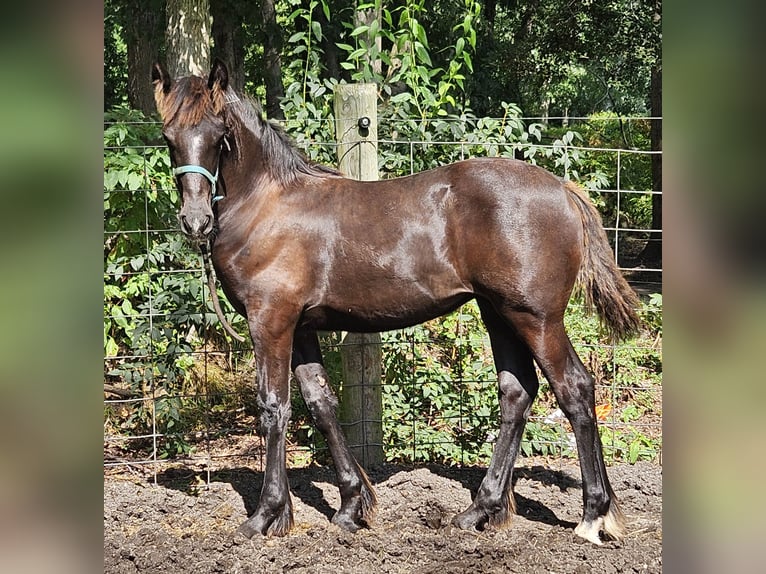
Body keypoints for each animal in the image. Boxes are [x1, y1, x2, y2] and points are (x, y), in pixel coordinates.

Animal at [151, 59, 641, 545]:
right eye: (169, 137)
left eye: (219, 134)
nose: (195, 222)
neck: (267, 205)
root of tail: (563, 190)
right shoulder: (302, 327)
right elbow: (321, 404)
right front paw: (351, 505)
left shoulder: (270, 320)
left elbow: (274, 408)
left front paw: (265, 515)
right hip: (499, 313)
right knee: (517, 393)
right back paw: (479, 510)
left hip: (536, 318)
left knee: (574, 389)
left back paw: (593, 515)